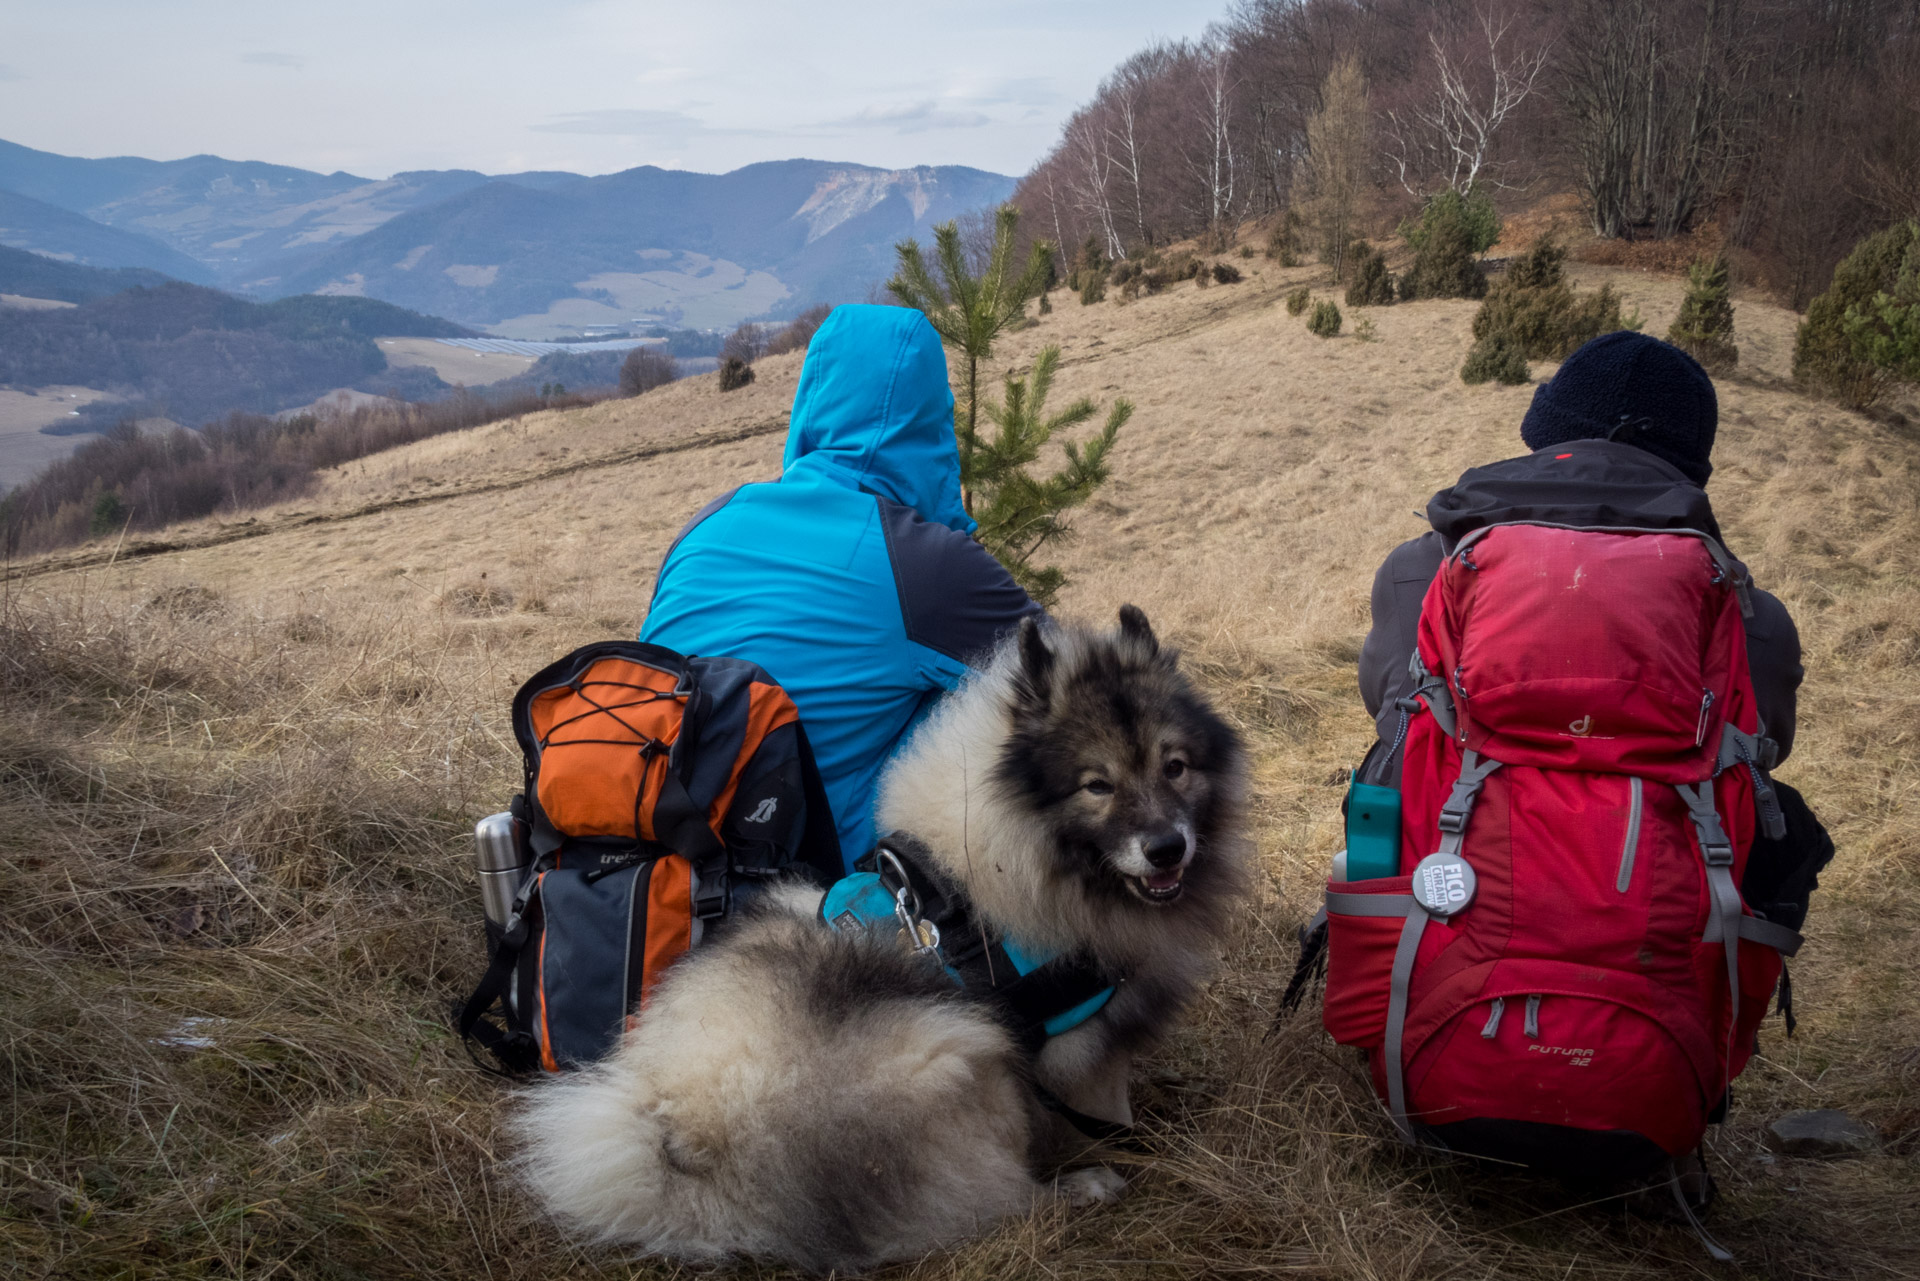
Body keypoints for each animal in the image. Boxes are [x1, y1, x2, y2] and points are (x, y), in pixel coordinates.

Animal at [510, 610, 1251, 1275]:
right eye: (1097, 785)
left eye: (1175, 767)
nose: (1167, 848)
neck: (1006, 859)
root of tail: (696, 1150)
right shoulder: (1082, 1043)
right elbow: (1107, 1108)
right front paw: (1127, 1148)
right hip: (954, 1047)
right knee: (985, 1201)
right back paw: (1076, 1190)